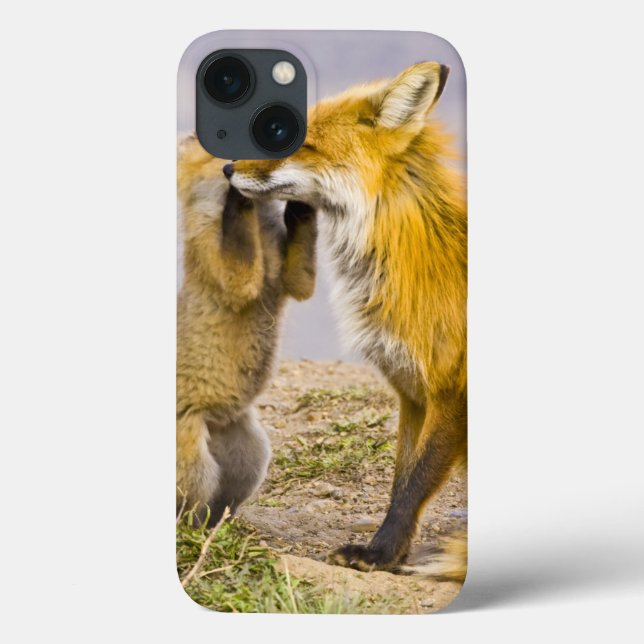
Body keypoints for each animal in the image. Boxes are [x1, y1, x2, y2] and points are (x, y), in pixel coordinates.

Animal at [177, 135, 317, 526]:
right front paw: (235, 194)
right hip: (195, 460)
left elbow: (301, 275)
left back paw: (222, 523)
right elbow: (237, 261)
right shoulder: (223, 263)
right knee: (189, 501)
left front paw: (300, 205)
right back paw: (194, 529)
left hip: (251, 451)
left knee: (224, 496)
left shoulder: (290, 278)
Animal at [227, 62, 467, 580]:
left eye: (290, 137)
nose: (228, 167)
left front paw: (378, 554)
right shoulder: (411, 393)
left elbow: (415, 482)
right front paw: (390, 554)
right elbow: (402, 482)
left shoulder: (451, 391)